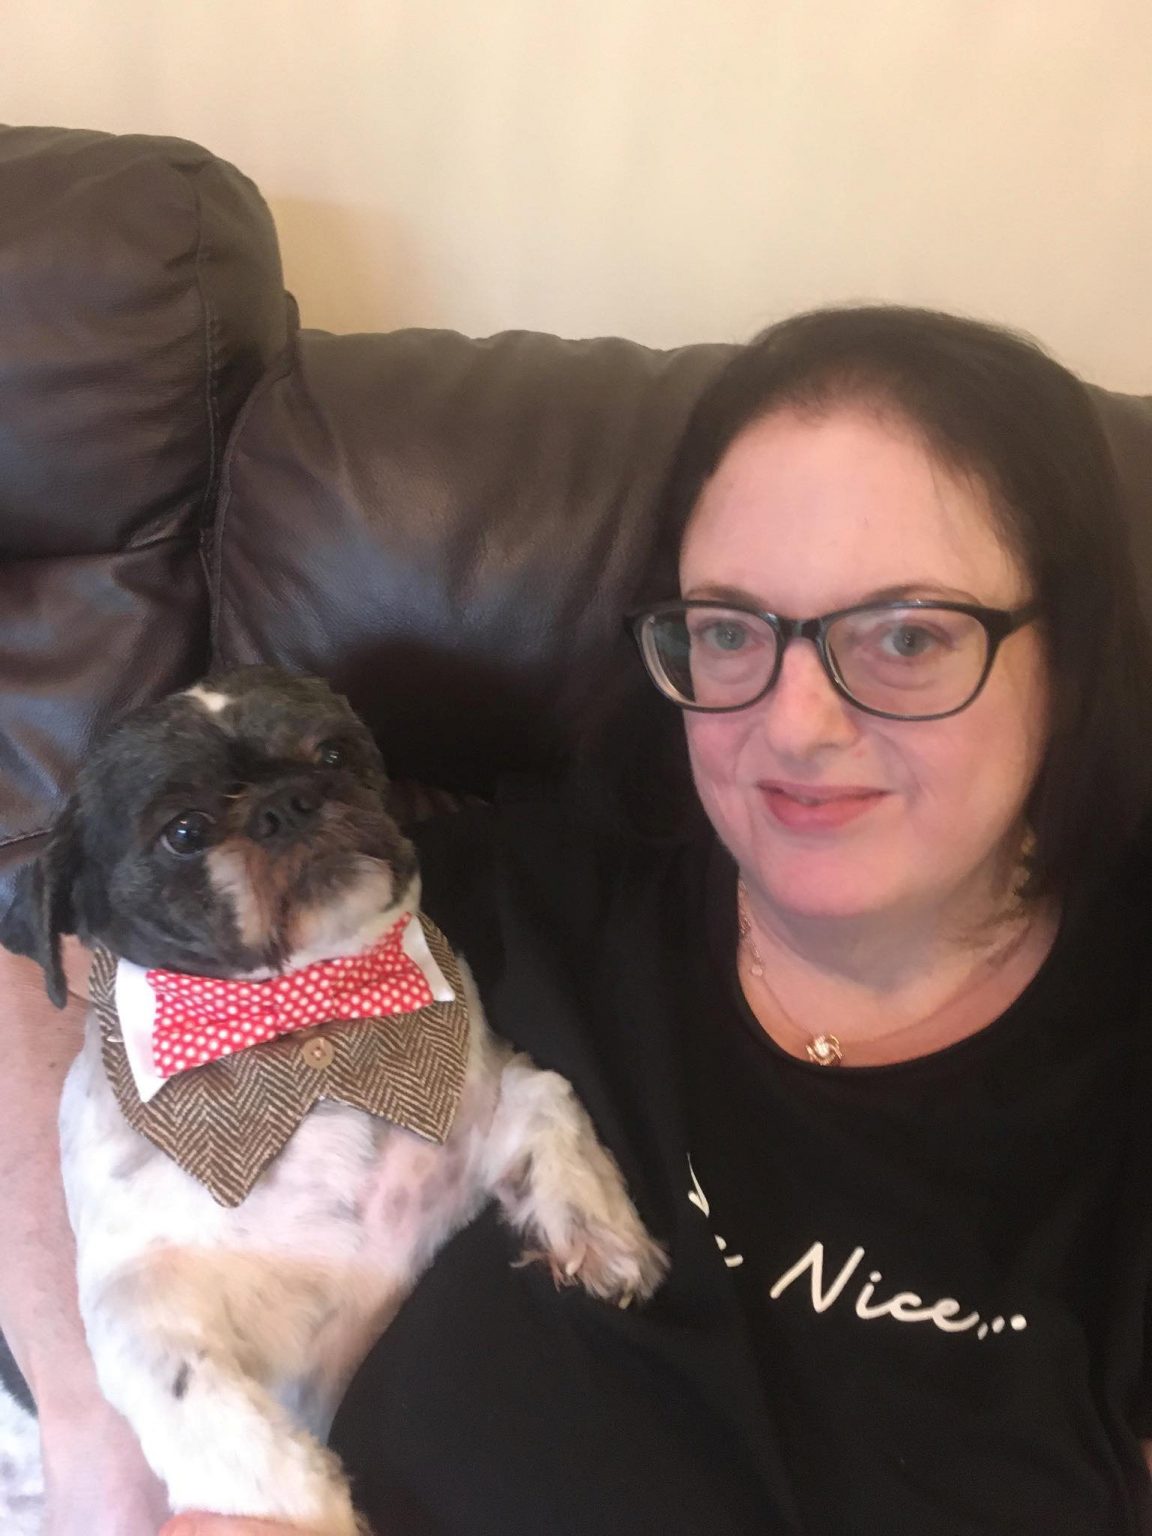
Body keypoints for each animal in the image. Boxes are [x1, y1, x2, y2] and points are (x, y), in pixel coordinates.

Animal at [1, 667, 667, 1534]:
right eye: (183, 831)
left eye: (332, 753)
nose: (289, 803)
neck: (311, 1038)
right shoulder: (137, 1300)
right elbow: (194, 1393)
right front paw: (314, 1503)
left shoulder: (472, 1119)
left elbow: (548, 1095)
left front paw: (595, 1229)